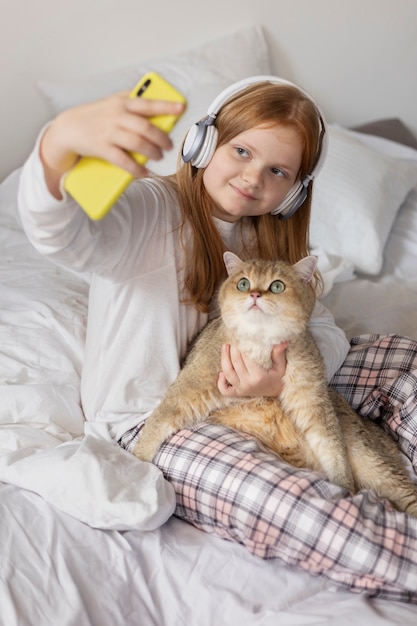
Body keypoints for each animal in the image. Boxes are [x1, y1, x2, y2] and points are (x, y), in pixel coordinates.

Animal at [133, 251, 416, 516]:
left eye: (277, 286)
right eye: (243, 284)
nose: (255, 294)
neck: (260, 345)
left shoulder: (313, 401)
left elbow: (333, 450)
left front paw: (344, 485)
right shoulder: (190, 388)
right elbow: (158, 422)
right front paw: (138, 463)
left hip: (373, 462)